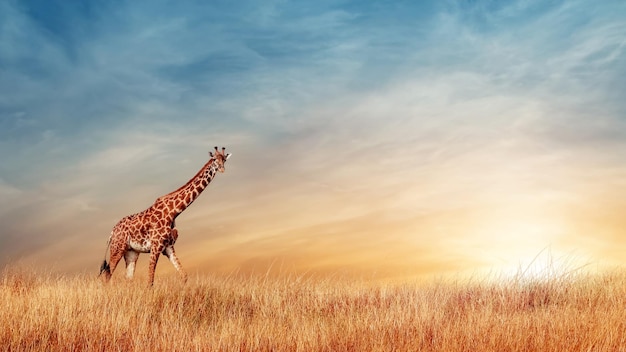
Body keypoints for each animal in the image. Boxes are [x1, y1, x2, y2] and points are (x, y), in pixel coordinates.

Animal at [98, 146, 230, 286]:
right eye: (214, 159)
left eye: (224, 159)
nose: (222, 169)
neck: (174, 211)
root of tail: (112, 232)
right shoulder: (156, 246)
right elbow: (150, 281)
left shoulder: (169, 247)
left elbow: (184, 276)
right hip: (117, 248)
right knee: (107, 274)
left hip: (131, 252)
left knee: (127, 278)